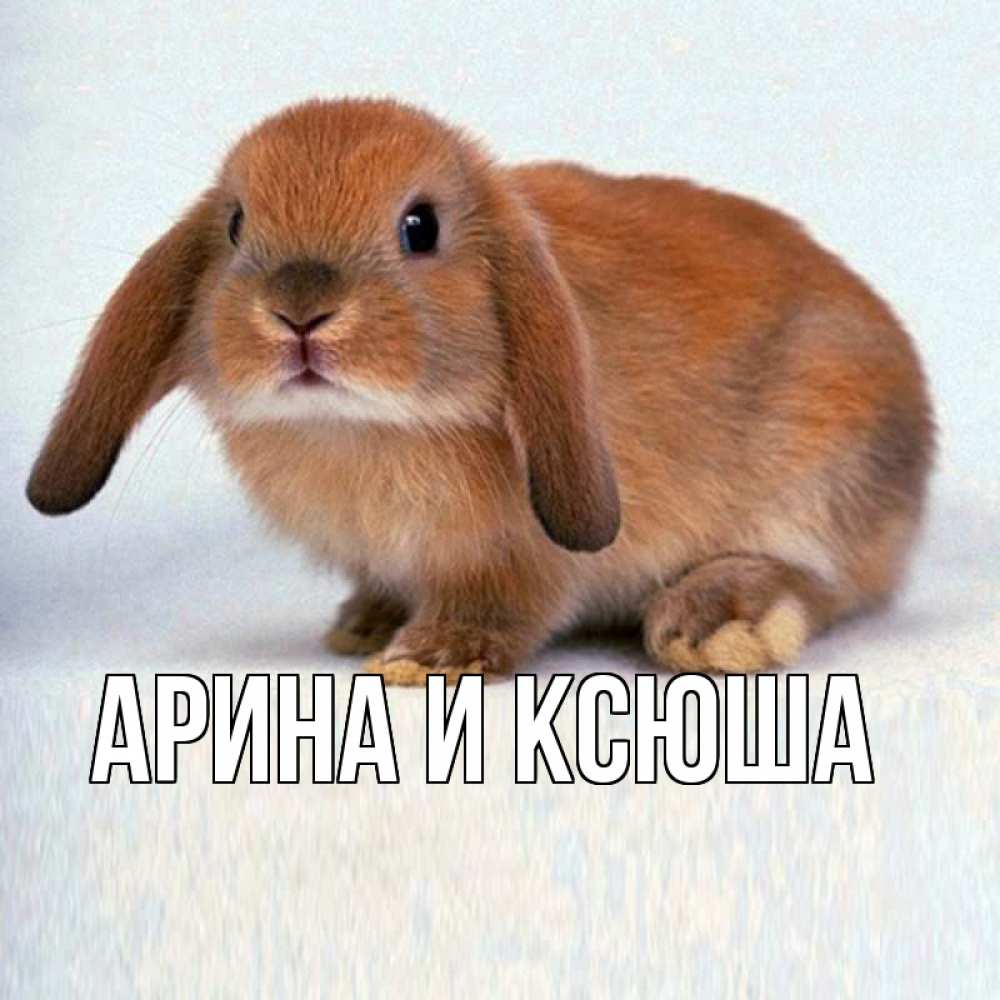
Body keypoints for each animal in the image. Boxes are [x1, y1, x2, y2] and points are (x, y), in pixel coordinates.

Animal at [27, 97, 934, 684]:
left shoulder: (516, 559)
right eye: (237, 225)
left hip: (821, 472)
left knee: (822, 582)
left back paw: (714, 624)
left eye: (419, 227)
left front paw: (429, 657)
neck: (360, 429)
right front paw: (367, 625)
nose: (299, 311)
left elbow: (505, 605)